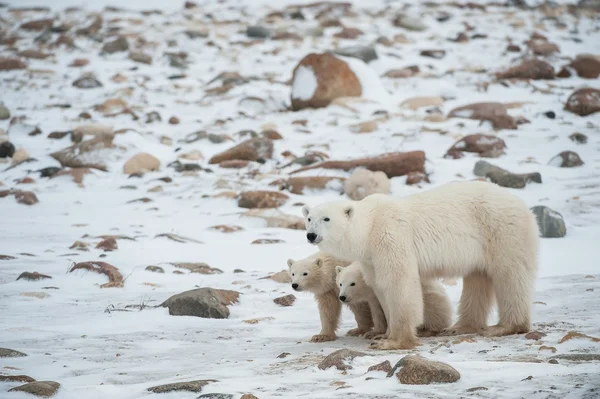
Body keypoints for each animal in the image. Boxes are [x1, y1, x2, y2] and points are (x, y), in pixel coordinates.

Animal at [302, 181, 540, 350]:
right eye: (309, 218)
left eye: (326, 219)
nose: (311, 235)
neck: (369, 228)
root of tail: (522, 204)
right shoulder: (371, 257)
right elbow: (379, 286)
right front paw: (383, 333)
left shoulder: (390, 238)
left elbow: (398, 282)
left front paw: (393, 341)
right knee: (477, 278)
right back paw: (461, 327)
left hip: (502, 230)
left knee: (510, 274)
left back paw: (504, 326)